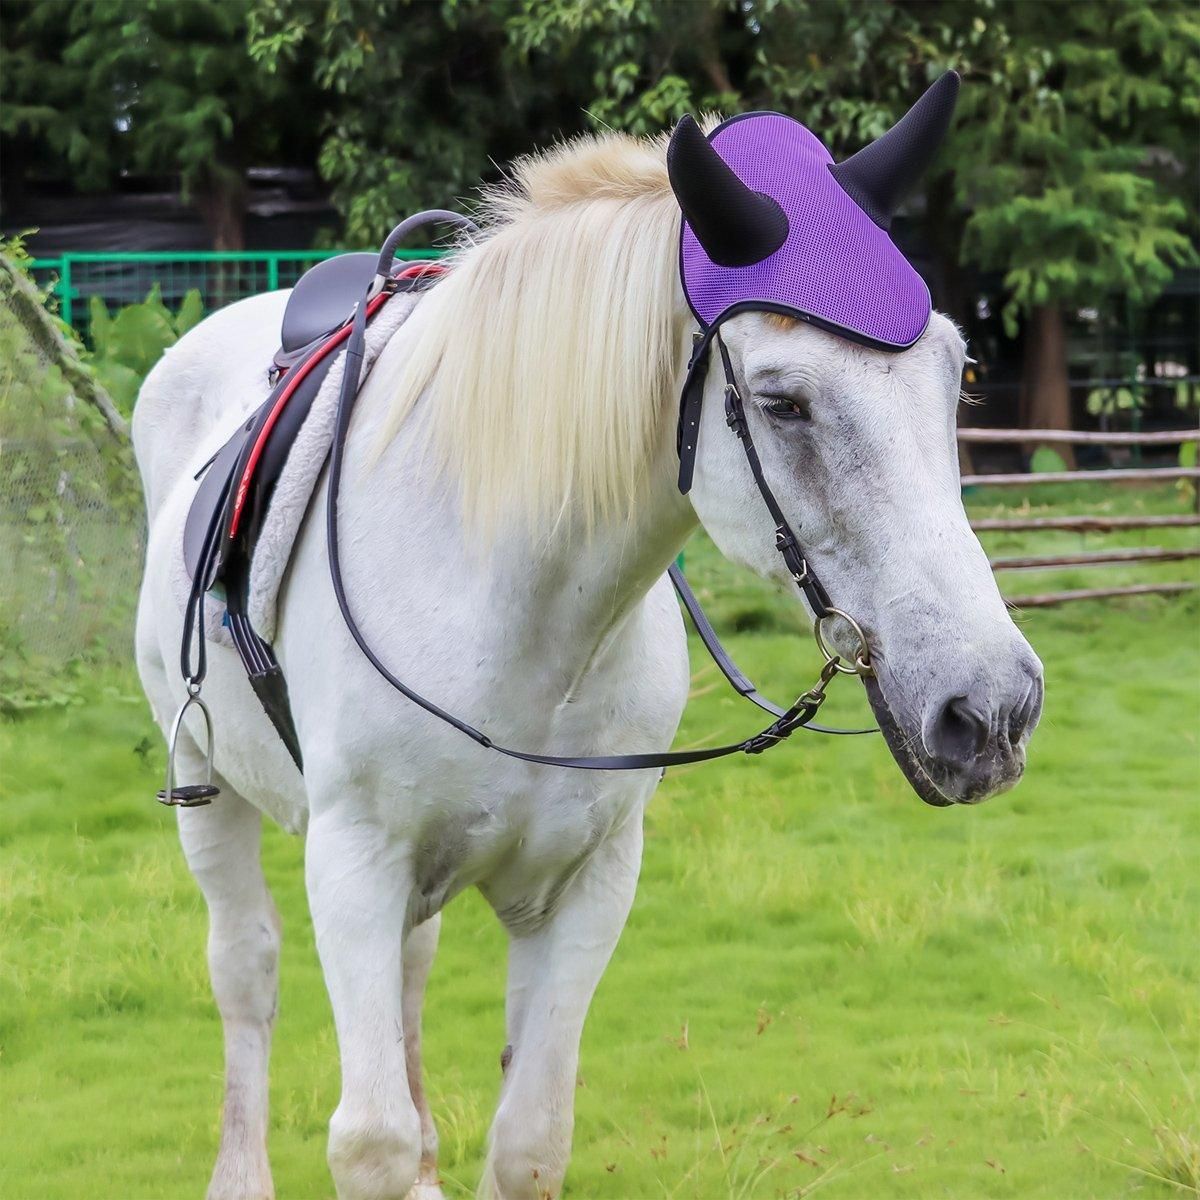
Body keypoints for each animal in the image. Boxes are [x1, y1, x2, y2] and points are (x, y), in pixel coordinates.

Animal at [132, 90, 1043, 1200]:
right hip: (202, 776)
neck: (517, 617)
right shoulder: (354, 864)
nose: (990, 709)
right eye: (782, 402)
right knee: (246, 970)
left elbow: (529, 1141)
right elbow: (370, 1139)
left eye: (957, 373)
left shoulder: (589, 884)